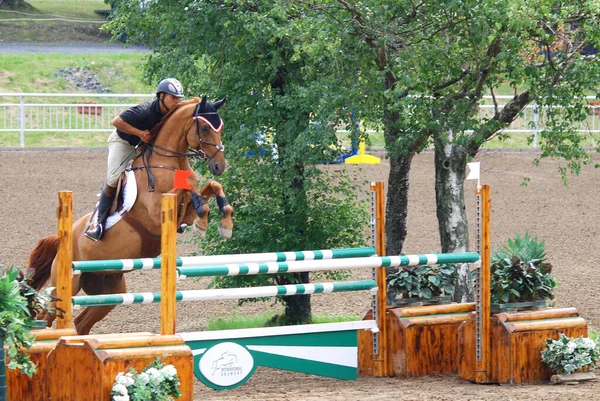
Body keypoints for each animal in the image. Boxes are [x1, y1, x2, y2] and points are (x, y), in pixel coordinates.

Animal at [28, 95, 234, 332]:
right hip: (69, 284)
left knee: (81, 322)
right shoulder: (155, 210)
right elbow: (189, 190)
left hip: (108, 289)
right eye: (204, 127)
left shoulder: (183, 211)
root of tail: (62, 240)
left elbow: (212, 187)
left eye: (221, 127)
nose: (220, 165)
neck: (167, 161)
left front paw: (225, 224)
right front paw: (203, 224)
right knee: (45, 315)